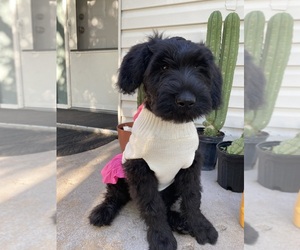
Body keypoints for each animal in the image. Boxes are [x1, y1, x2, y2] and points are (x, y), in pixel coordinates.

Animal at [89, 34, 223, 250]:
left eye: (199, 68)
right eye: (163, 67)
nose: (187, 100)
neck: (169, 127)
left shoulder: (190, 166)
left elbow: (193, 198)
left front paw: (200, 226)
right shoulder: (139, 169)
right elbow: (152, 206)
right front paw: (161, 237)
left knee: (167, 206)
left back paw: (181, 222)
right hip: (119, 171)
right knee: (116, 196)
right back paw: (102, 212)